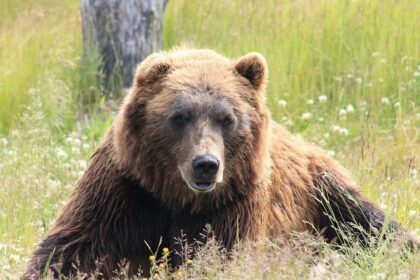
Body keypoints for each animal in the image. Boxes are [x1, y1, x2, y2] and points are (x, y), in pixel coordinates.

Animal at [22, 49, 416, 278]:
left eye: (226, 118)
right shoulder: (127, 190)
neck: (176, 196)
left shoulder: (233, 203)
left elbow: (217, 256)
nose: (206, 164)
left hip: (323, 192)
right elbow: (74, 248)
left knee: (371, 225)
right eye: (179, 116)